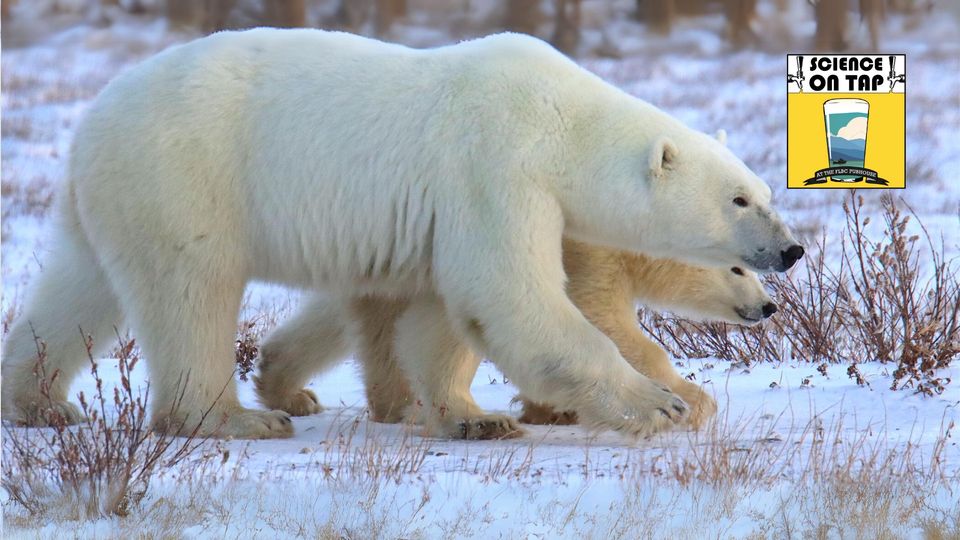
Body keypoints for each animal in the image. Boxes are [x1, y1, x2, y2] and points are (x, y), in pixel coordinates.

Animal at [258, 240, 776, 438]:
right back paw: (405, 405)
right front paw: (690, 402)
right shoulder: (586, 255)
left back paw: (284, 386)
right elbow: (602, 321)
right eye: (738, 268)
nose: (769, 306)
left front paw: (548, 409)